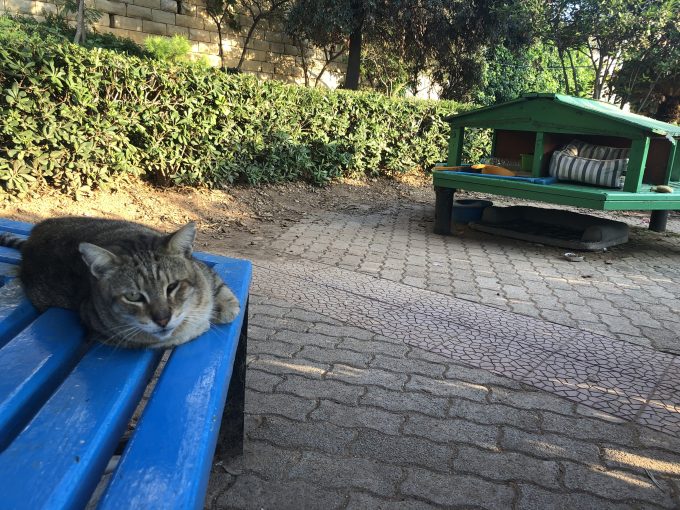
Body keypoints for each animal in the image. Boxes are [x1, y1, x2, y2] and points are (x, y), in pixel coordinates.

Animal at [0, 217, 240, 348]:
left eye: (172, 287)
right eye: (133, 296)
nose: (163, 320)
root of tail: (31, 240)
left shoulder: (205, 271)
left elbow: (222, 292)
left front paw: (224, 307)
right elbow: (169, 336)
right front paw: (199, 324)